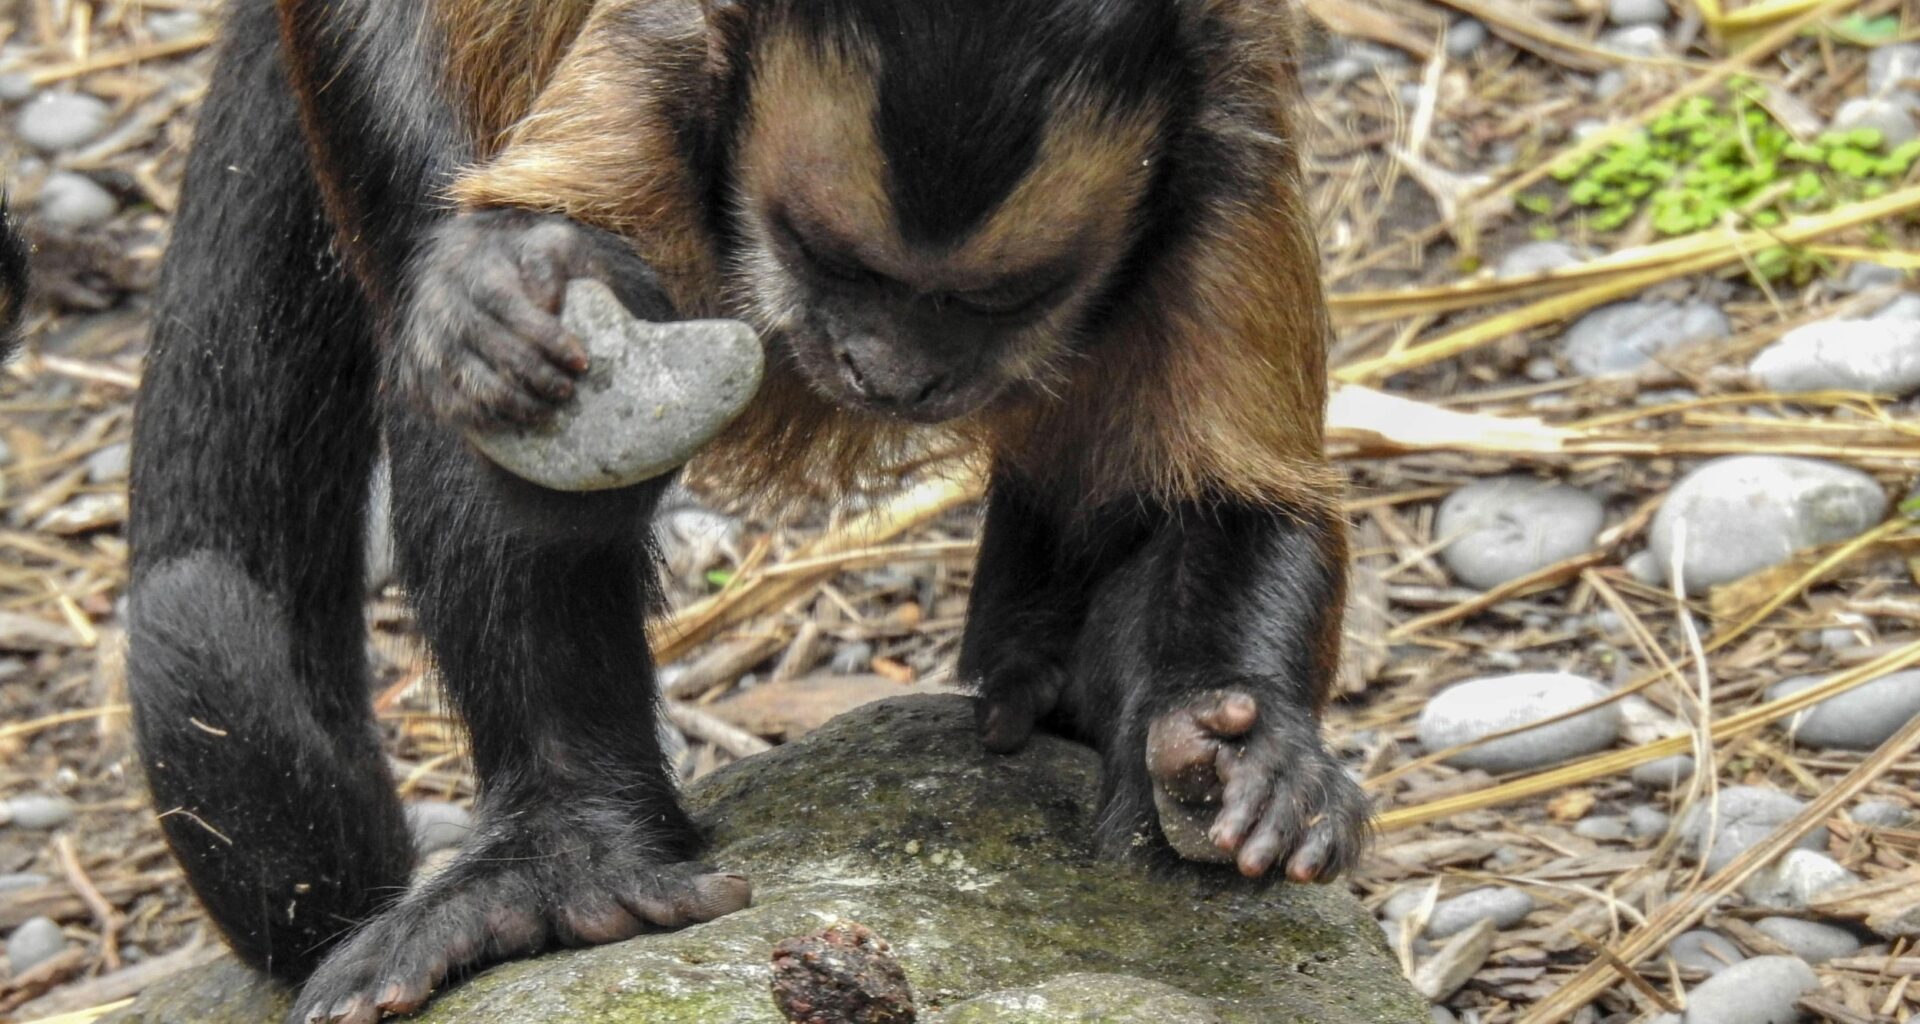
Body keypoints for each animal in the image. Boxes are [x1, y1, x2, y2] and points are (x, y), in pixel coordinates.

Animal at [124, 1, 1371, 1022]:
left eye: (1000, 298)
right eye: (830, 256)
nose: (889, 372)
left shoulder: (1226, 163)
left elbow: (1220, 499)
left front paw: (1237, 744)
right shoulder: (661, 64)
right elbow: (530, 345)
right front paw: (499, 287)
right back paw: (565, 861)